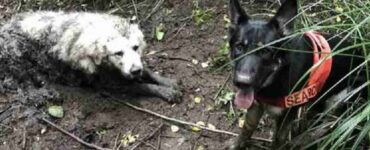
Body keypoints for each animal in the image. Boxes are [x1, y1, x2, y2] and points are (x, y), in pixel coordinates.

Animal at [0, 11, 181, 102]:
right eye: (118, 53)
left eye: (136, 47)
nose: (135, 71)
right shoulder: (108, 83)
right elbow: (142, 86)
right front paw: (165, 91)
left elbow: (148, 71)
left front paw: (168, 81)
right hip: (16, 55)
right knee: (23, 85)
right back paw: (44, 93)